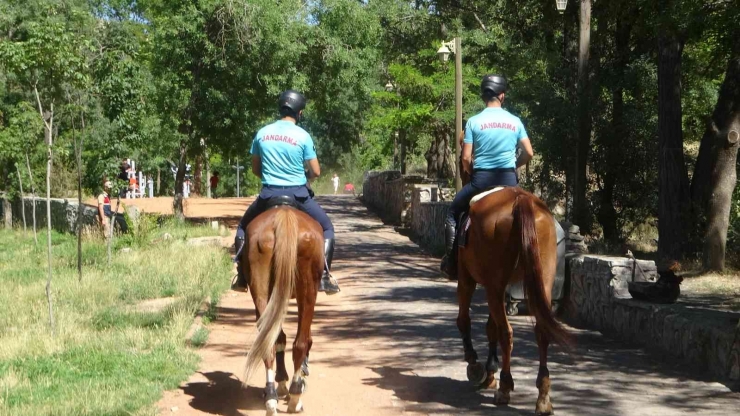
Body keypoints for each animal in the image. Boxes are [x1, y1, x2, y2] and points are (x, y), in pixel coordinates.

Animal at [241, 200, 326, 414]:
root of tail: (284, 214)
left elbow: (278, 338)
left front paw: (280, 384)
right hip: (309, 292)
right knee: (301, 342)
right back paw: (295, 397)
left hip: (262, 290)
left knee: (267, 342)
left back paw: (271, 397)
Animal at [456, 142, 568, 412]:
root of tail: (521, 200)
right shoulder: (500, 287)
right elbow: (490, 327)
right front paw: (489, 372)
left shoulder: (468, 279)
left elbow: (466, 320)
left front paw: (476, 366)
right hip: (540, 281)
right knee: (540, 330)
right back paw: (543, 396)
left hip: (493, 285)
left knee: (507, 332)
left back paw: (505, 387)